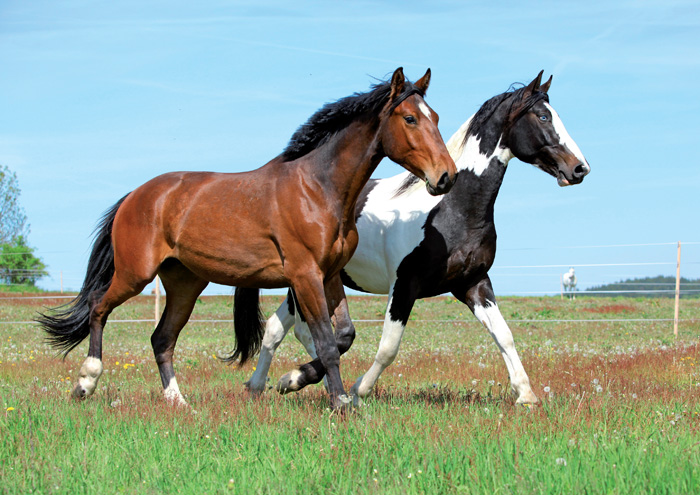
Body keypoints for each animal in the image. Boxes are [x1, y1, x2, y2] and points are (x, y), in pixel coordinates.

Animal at [38, 67, 458, 411]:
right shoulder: (304, 275)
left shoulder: (329, 276)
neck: (317, 188)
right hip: (134, 274)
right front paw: (338, 403)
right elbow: (325, 341)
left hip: (185, 283)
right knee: (98, 308)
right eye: (410, 118)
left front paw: (293, 380)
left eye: (435, 117)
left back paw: (179, 402)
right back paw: (86, 383)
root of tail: (136, 195)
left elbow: (343, 336)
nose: (446, 176)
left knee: (162, 339)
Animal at [244, 71, 590, 405]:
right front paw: (357, 391)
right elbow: (388, 347)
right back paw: (290, 381)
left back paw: (271, 383)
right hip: (307, 281)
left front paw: (526, 395)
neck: (449, 209)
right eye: (543, 117)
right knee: (296, 332)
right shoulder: (404, 285)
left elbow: (503, 334)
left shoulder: (473, 283)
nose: (579, 169)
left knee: (281, 329)